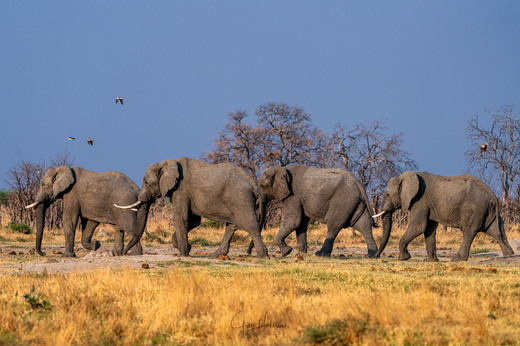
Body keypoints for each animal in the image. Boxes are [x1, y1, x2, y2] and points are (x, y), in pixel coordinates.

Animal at [116, 158, 270, 258]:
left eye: (146, 182)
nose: (124, 253)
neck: (166, 163)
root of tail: (252, 181)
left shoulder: (181, 190)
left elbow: (180, 218)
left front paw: (184, 253)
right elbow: (193, 221)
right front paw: (187, 248)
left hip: (241, 198)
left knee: (250, 225)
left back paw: (263, 256)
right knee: (231, 226)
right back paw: (215, 255)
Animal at [248, 164, 378, 256]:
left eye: (262, 186)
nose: (248, 252)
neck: (281, 168)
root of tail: (358, 183)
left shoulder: (293, 195)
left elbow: (294, 220)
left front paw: (287, 252)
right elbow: (301, 223)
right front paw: (301, 253)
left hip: (343, 201)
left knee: (333, 226)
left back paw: (320, 254)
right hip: (355, 202)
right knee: (363, 225)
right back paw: (372, 255)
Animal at [374, 172, 516, 260]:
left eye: (387, 194)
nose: (375, 256)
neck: (406, 176)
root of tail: (493, 196)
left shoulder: (420, 201)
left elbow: (418, 227)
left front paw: (404, 258)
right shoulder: (428, 205)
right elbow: (429, 229)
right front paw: (431, 261)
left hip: (476, 209)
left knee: (469, 231)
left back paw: (457, 259)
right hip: (487, 210)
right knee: (495, 230)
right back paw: (509, 255)